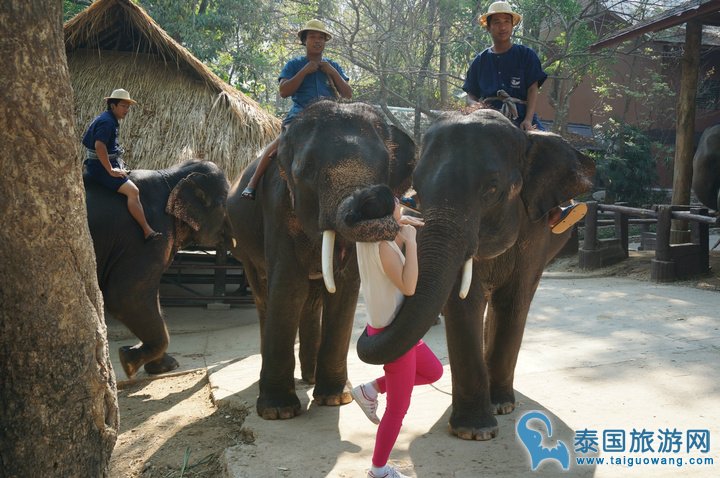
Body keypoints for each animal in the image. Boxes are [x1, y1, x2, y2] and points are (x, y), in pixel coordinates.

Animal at [86, 159, 229, 380]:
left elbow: (152, 298)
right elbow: (127, 296)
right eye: (224, 204)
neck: (171, 175)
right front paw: (128, 360)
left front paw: (163, 366)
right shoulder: (148, 236)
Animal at [225, 100, 416, 418]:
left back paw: (311, 378)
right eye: (306, 171)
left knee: (312, 299)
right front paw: (279, 412)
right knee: (266, 295)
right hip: (244, 246)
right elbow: (288, 287)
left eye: (384, 167)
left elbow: (345, 288)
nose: (374, 199)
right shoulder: (277, 205)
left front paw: (336, 399)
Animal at [356, 108, 596, 440]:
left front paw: (500, 407)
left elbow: (513, 300)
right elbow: (464, 301)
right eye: (417, 190)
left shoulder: (535, 230)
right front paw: (474, 430)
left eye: (492, 188)